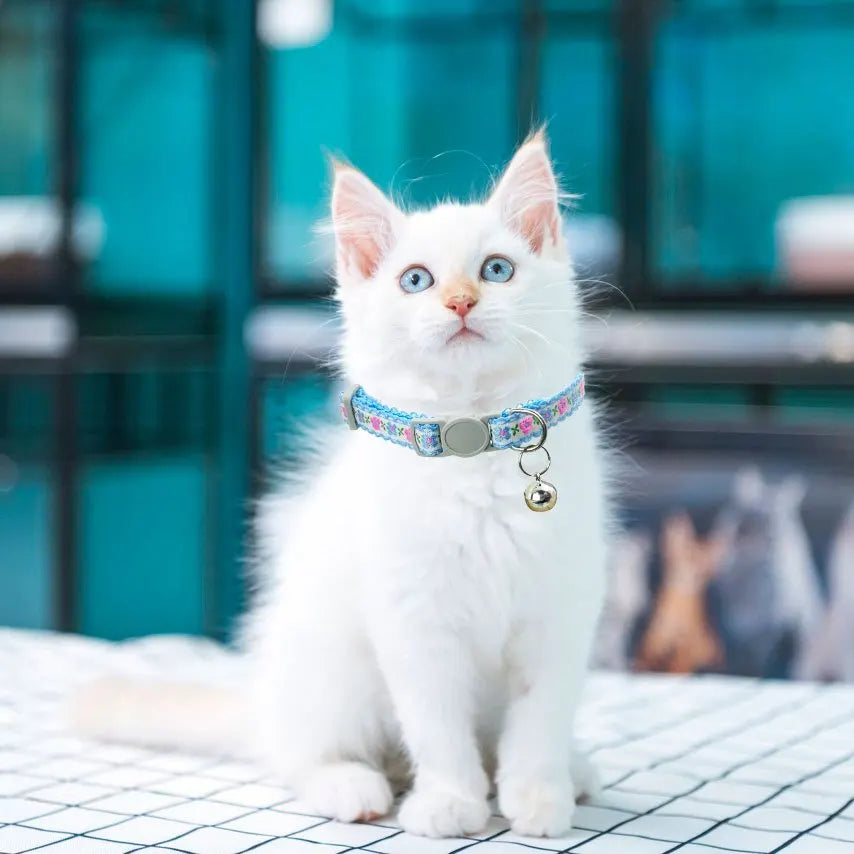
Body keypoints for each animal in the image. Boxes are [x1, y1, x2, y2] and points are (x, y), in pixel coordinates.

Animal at [70, 134, 612, 844]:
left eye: (496, 270)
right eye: (416, 280)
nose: (461, 302)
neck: (471, 442)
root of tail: (263, 702)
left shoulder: (558, 614)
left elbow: (538, 724)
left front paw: (539, 798)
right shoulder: (412, 619)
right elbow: (438, 729)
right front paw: (451, 804)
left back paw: (574, 772)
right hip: (331, 672)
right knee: (302, 757)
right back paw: (355, 787)